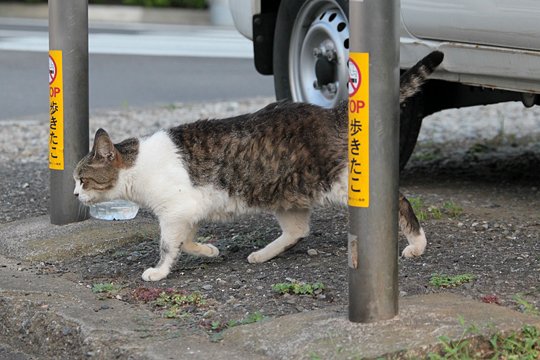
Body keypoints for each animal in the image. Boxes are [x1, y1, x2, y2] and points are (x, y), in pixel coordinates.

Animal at [73, 51, 442, 282]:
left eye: (82, 179)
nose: (75, 195)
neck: (138, 166)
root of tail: (330, 112)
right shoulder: (189, 211)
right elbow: (187, 241)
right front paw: (208, 250)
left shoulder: (174, 212)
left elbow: (167, 246)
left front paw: (159, 271)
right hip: (286, 193)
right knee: (297, 230)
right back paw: (262, 255)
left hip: (336, 182)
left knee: (398, 200)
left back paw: (418, 244)